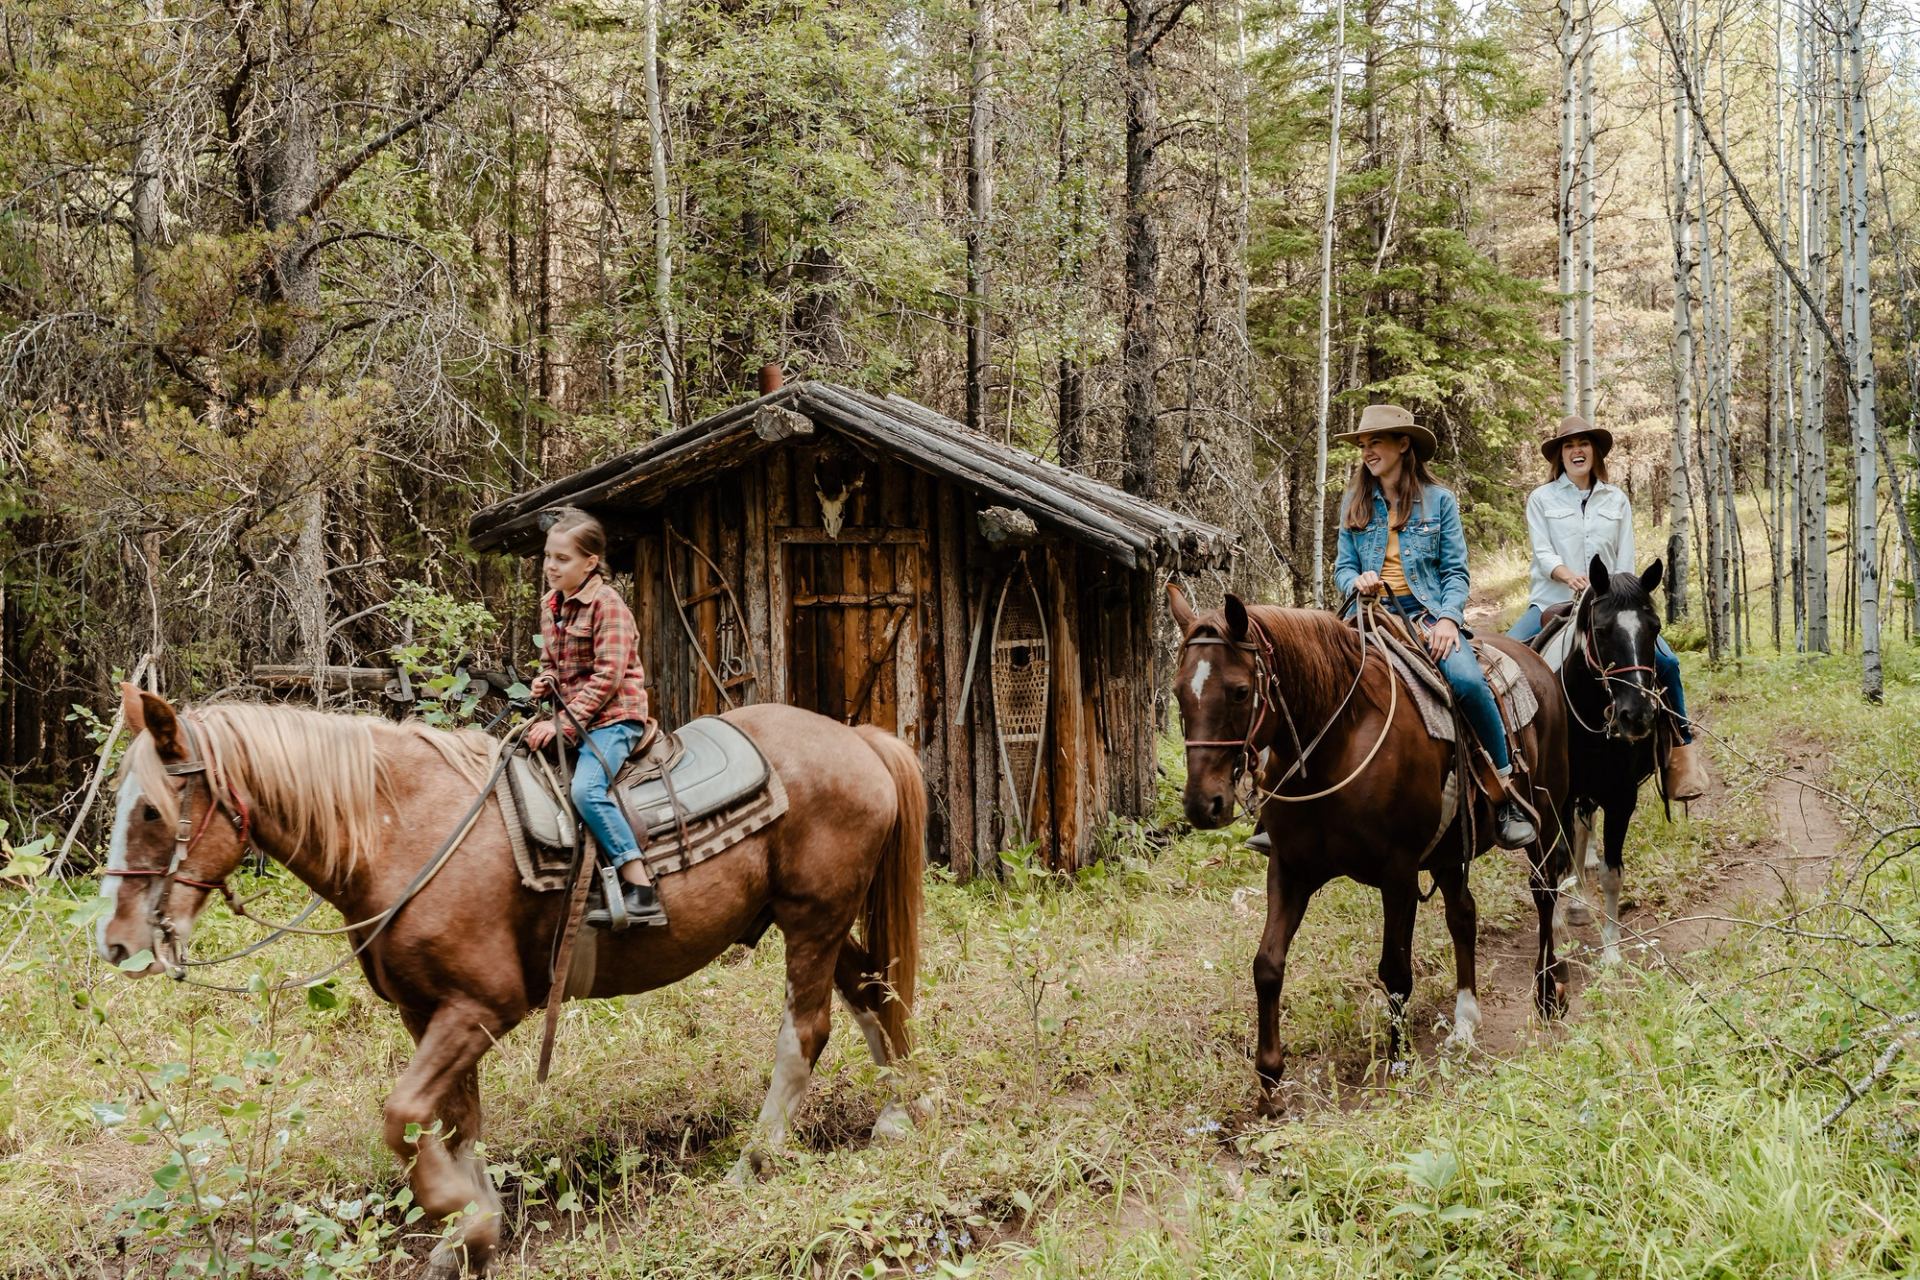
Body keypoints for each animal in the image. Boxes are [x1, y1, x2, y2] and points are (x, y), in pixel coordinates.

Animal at [101, 690, 925, 1280]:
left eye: (151, 811)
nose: (118, 943)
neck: (403, 833)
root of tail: (860, 739)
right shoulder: (427, 1012)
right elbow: (454, 1123)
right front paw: (464, 1236)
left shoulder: (482, 1008)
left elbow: (403, 1116)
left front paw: (465, 1220)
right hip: (820, 922)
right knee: (872, 994)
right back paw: (899, 1115)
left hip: (812, 918)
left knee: (807, 1030)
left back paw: (756, 1161)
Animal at [1167, 587, 1574, 1113]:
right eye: (1179, 692)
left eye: (1238, 691)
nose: (1203, 804)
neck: (1335, 743)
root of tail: (1537, 660)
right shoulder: (1289, 870)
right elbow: (1267, 966)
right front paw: (1270, 1081)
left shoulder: (1397, 873)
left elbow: (1395, 970)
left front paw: (1398, 1065)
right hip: (1449, 851)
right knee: (1463, 915)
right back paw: (1465, 1019)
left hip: (1546, 814)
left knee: (1544, 892)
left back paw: (1547, 991)